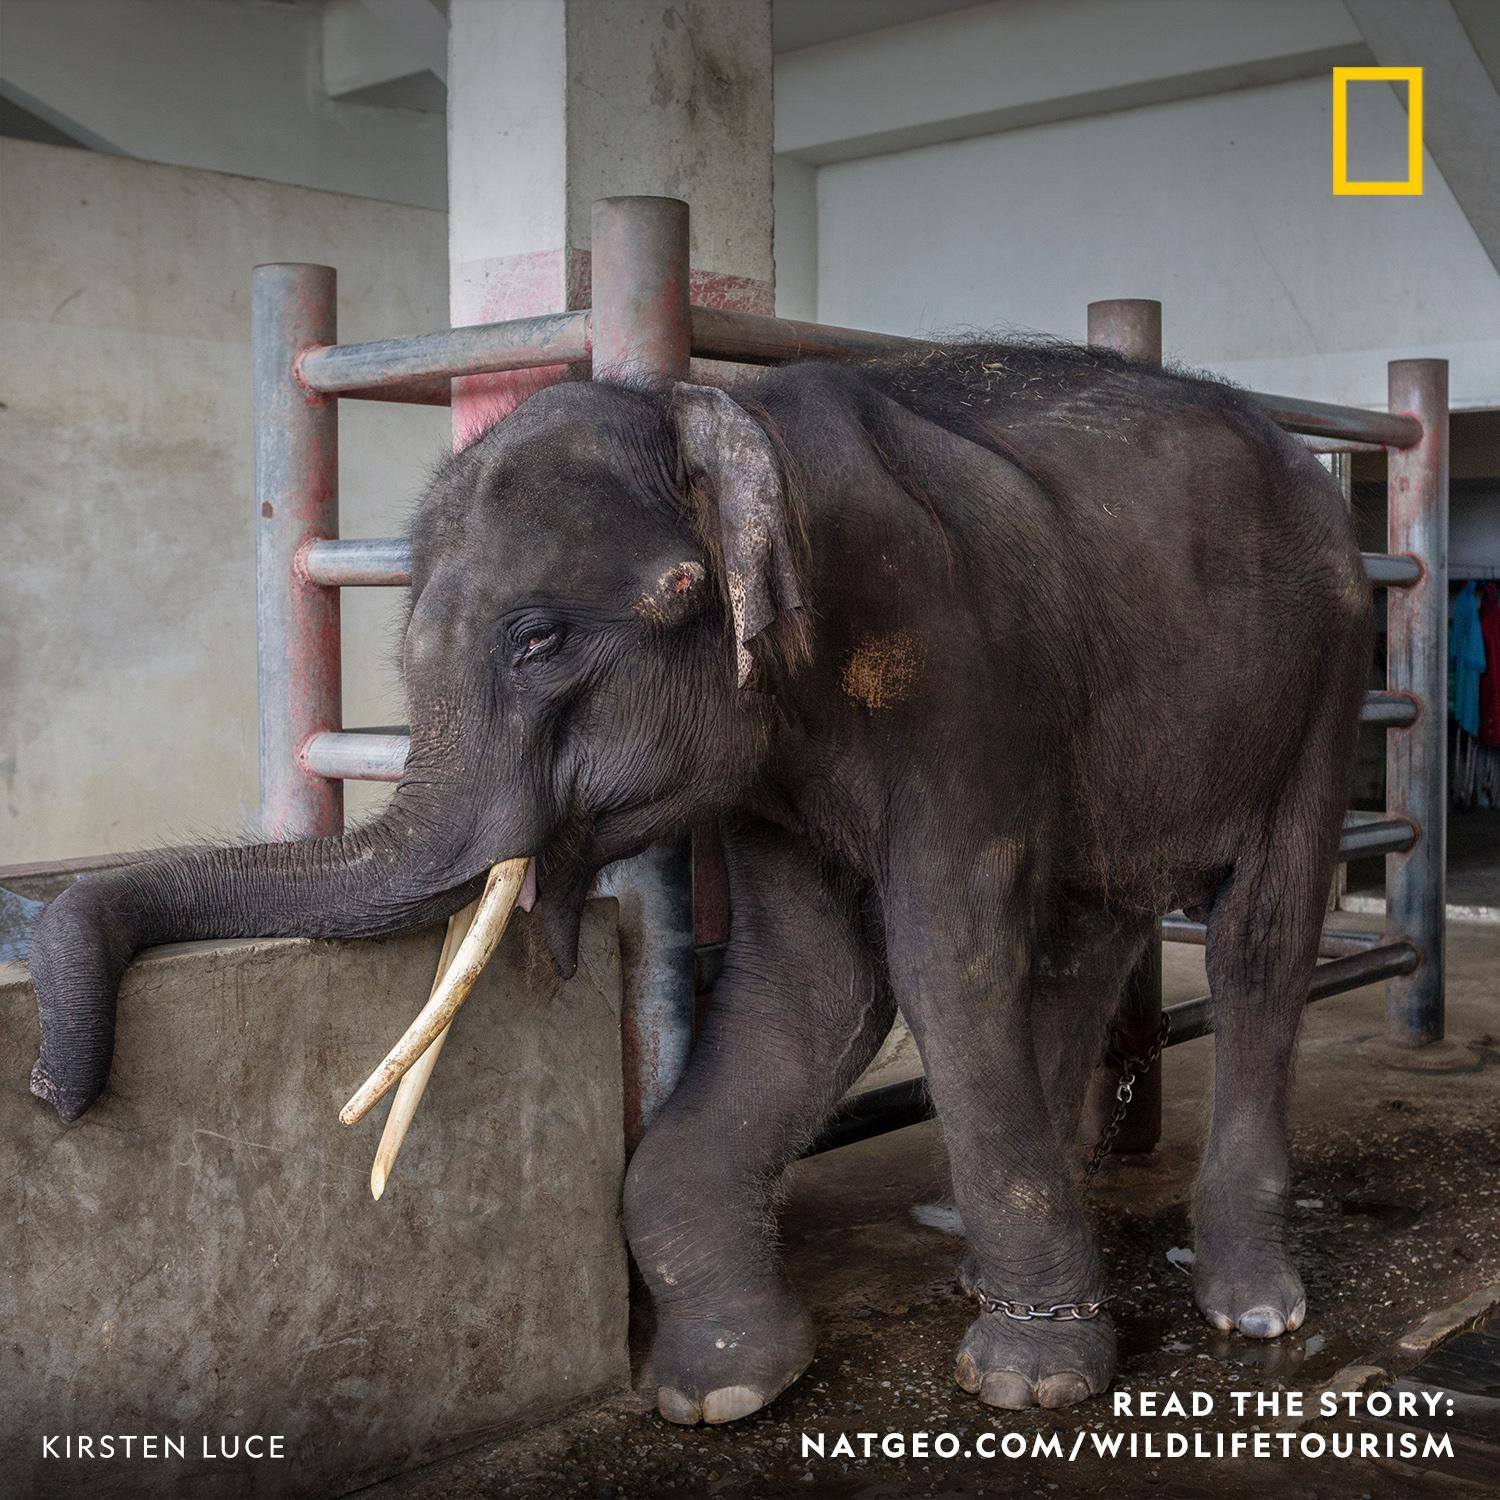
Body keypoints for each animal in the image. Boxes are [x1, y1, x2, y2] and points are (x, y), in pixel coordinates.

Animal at [27, 340, 1370, 1423]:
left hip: (1329, 674)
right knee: (1096, 931)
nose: (53, 1097)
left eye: (537, 641)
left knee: (1260, 937)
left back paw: (1252, 1304)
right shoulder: (776, 754)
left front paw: (1030, 1379)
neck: (720, 421)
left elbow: (945, 957)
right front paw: (720, 1386)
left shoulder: (963, 677)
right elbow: (809, 986)